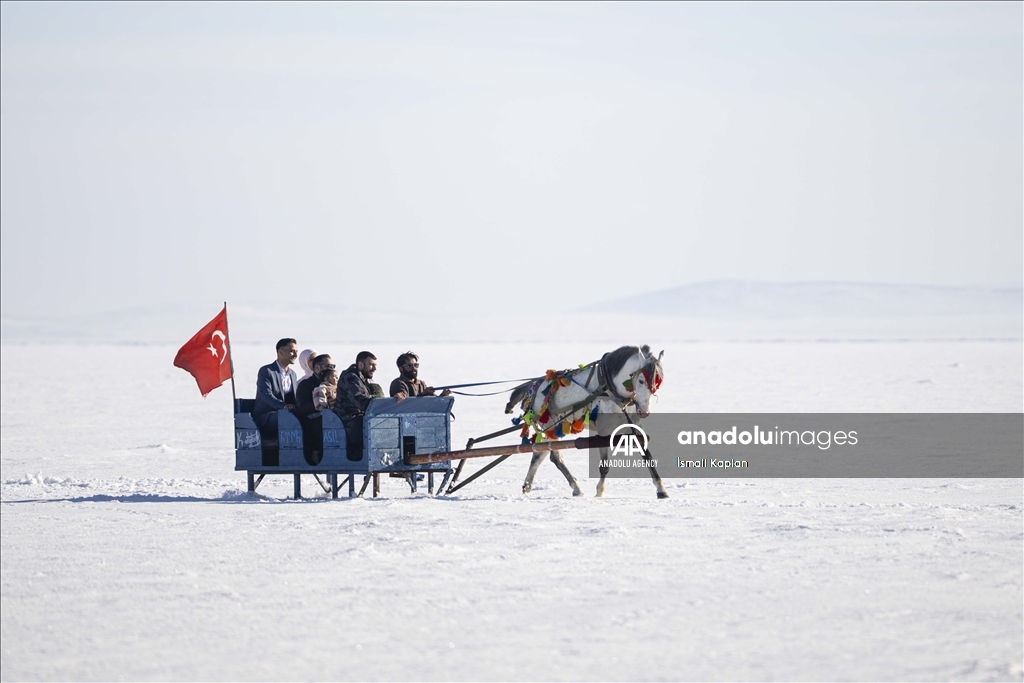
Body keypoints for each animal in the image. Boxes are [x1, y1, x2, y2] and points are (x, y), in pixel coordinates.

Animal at [501, 348, 663, 497]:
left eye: (658, 383)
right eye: (641, 380)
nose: (644, 411)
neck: (610, 389)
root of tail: (533, 385)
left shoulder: (634, 426)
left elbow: (647, 456)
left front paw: (661, 489)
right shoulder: (603, 431)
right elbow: (604, 466)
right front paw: (599, 492)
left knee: (539, 454)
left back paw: (528, 486)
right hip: (550, 425)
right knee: (554, 456)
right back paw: (576, 487)